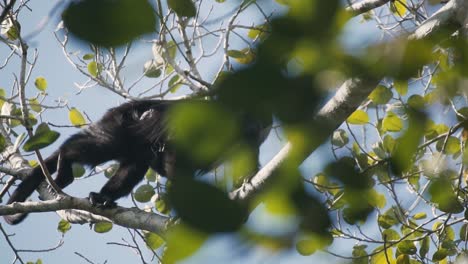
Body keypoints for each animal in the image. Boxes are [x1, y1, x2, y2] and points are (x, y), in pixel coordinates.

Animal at [3, 99, 272, 225]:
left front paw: (246, 181)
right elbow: (176, 155)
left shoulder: (248, 143)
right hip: (118, 126)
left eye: (261, 123)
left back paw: (103, 197)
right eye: (248, 115)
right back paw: (65, 164)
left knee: (134, 166)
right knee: (96, 147)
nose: (255, 127)